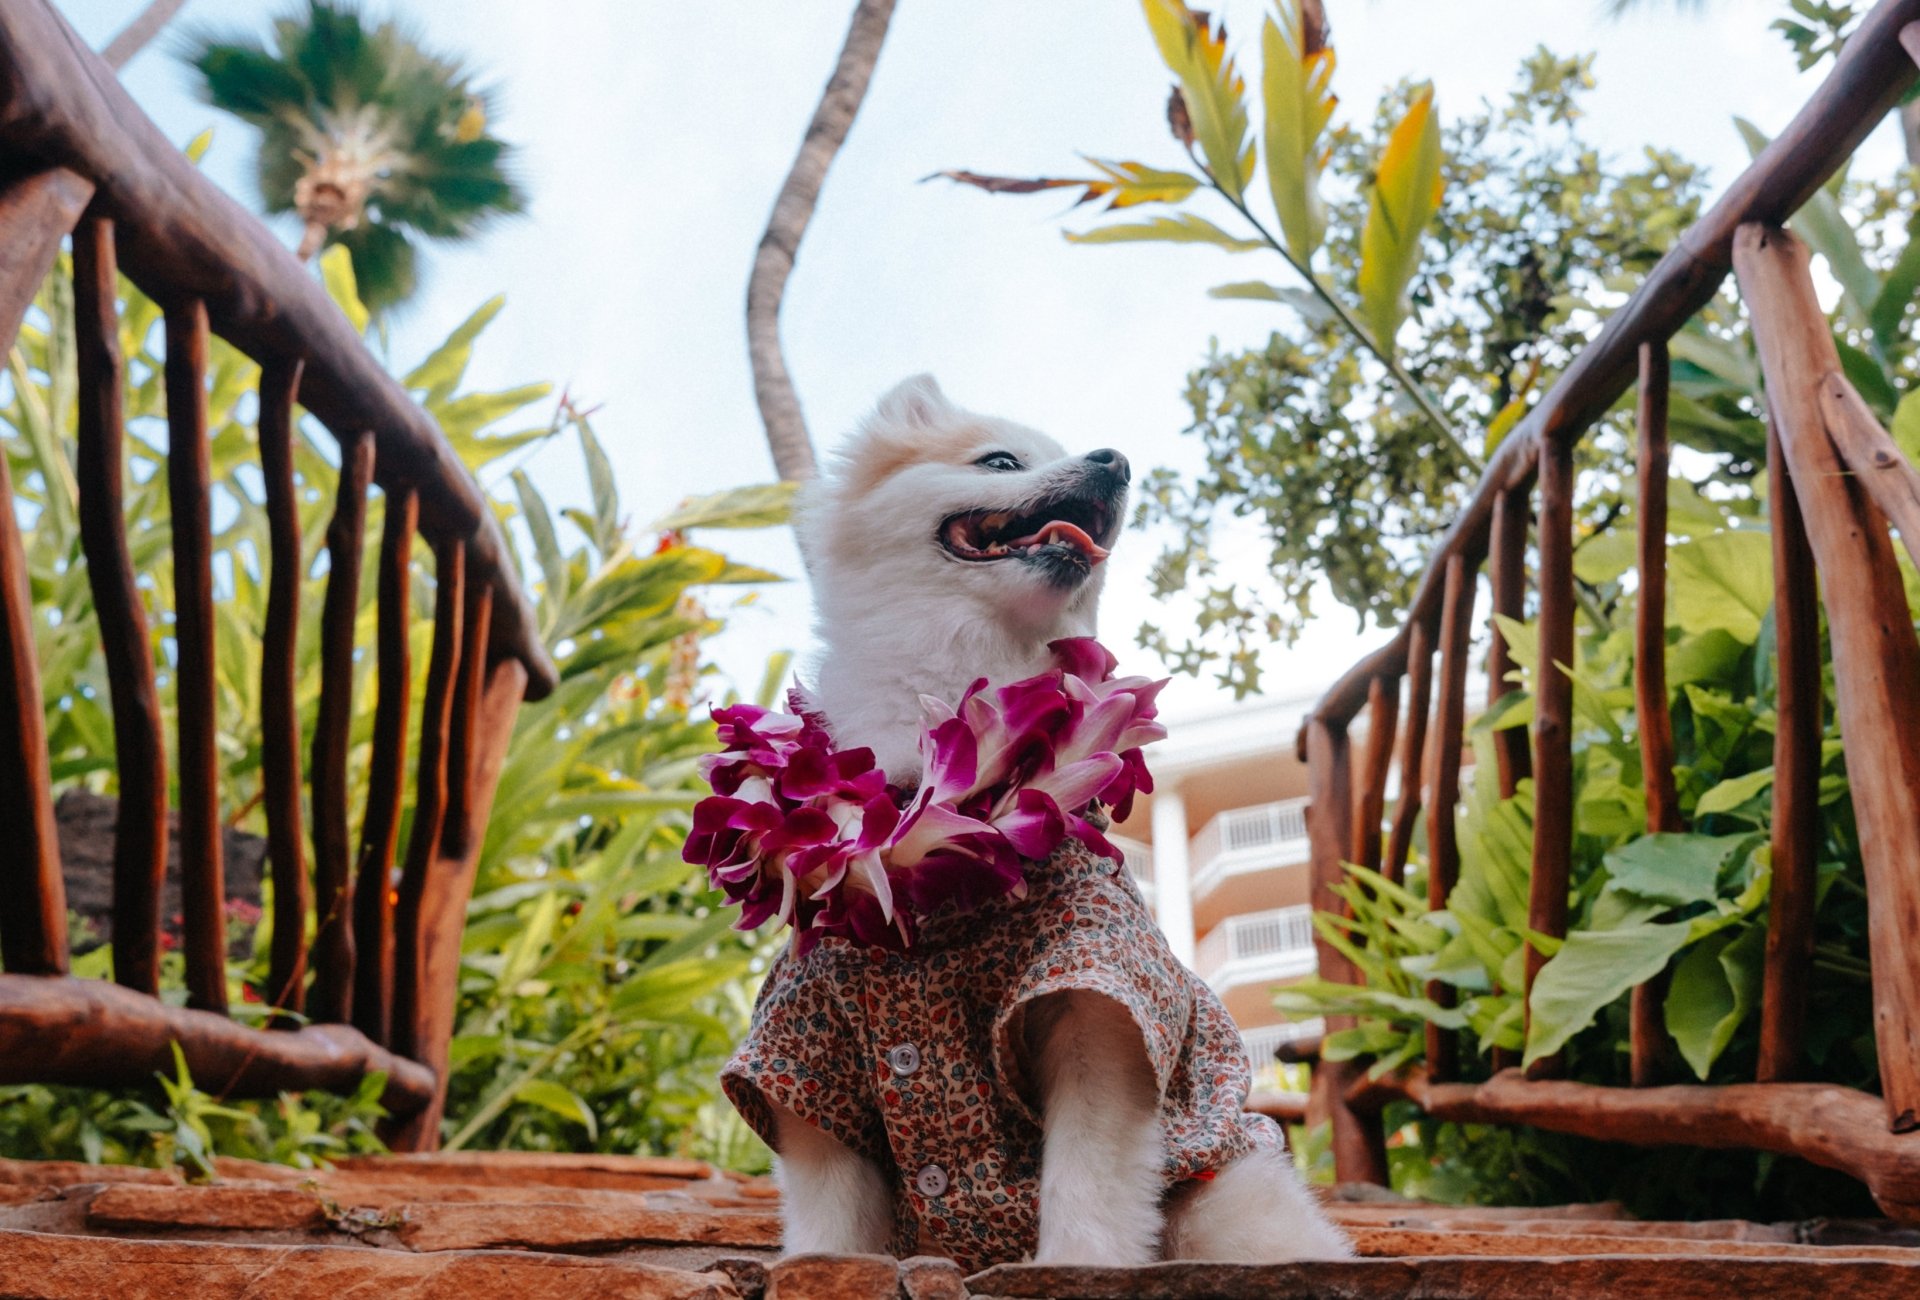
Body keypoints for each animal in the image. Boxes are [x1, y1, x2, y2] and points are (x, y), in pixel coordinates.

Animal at [721, 374, 1351, 1267]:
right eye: (1001, 461)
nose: (1115, 461)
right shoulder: (809, 1043)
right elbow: (831, 1211)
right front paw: (822, 1268)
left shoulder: (1095, 1004)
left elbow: (1085, 1176)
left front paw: (1075, 1266)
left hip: (1228, 1206)